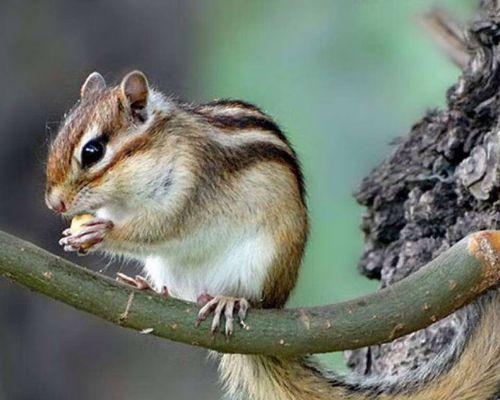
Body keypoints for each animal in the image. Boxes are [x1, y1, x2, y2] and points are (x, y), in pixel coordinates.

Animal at [45, 71, 500, 400]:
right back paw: (150, 288)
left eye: (92, 151)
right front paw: (80, 234)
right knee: (175, 290)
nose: (54, 203)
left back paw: (230, 301)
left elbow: (159, 228)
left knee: (255, 299)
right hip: (172, 271)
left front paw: (100, 232)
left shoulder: (189, 187)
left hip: (264, 262)